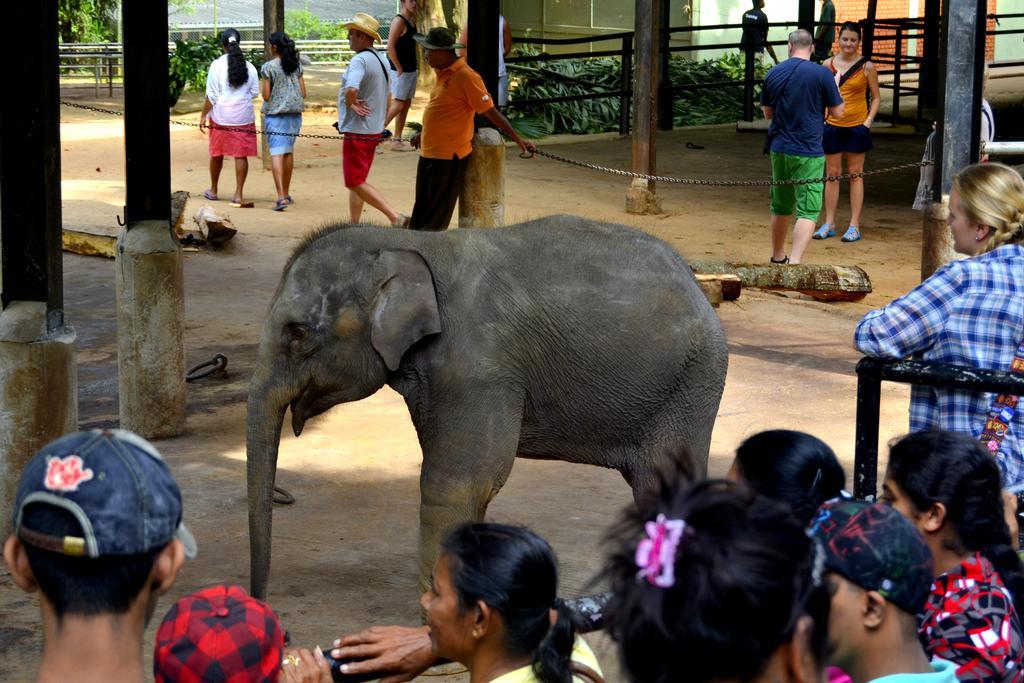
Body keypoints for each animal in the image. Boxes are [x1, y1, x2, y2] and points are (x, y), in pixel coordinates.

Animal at [245, 216, 729, 602]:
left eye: (297, 332)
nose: (267, 607)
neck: (410, 242)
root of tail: (695, 283)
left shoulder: (478, 369)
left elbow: (457, 482)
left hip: (691, 384)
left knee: (661, 486)